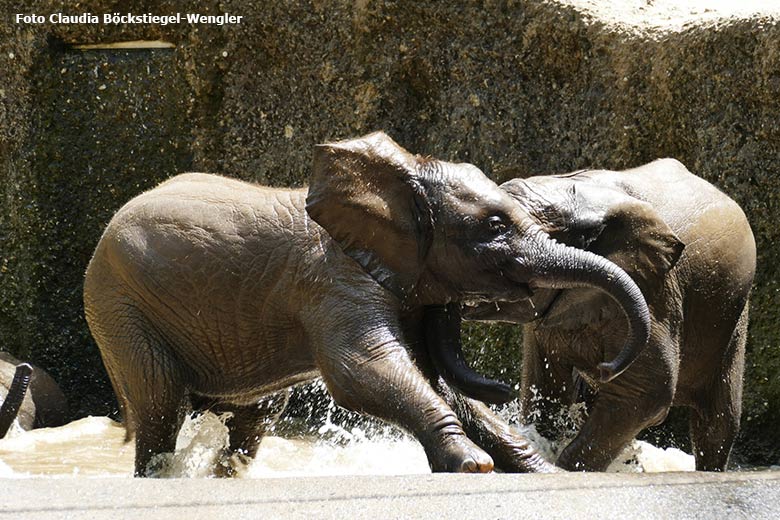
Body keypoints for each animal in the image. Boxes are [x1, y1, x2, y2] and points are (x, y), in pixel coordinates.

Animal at [84, 132, 652, 478]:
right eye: (493, 227)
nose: (606, 366)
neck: (399, 184)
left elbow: (433, 377)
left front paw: (542, 471)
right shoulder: (334, 280)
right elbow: (366, 368)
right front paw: (472, 467)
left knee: (254, 416)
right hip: (118, 305)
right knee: (160, 404)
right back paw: (159, 477)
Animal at [432, 158, 756, 472]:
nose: (605, 368)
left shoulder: (654, 292)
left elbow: (647, 392)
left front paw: (565, 470)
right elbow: (548, 389)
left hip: (733, 313)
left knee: (717, 423)